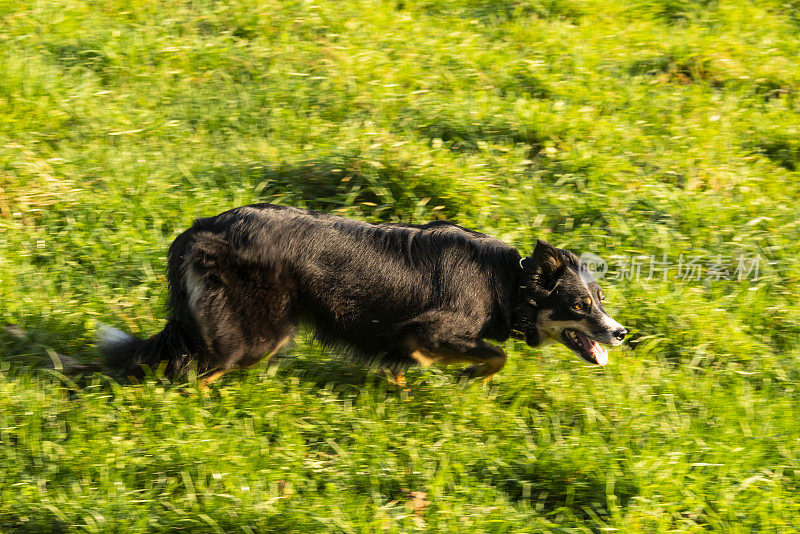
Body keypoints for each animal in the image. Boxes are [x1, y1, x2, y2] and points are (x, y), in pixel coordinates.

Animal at [98, 205, 624, 386]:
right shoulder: (429, 328)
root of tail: (200, 230)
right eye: (579, 306)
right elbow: (496, 354)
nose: (621, 333)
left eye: (599, 299)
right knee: (195, 370)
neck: (508, 283)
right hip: (257, 334)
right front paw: (463, 374)